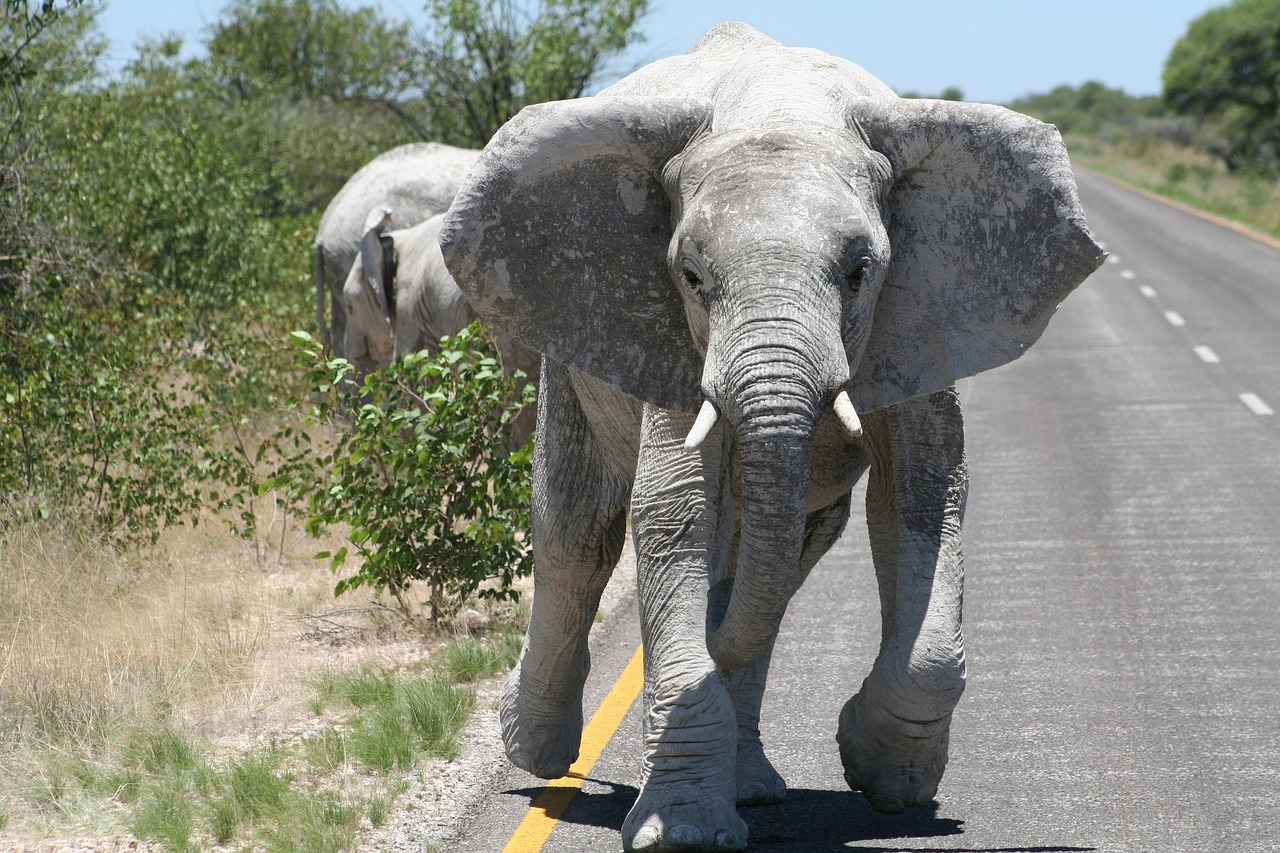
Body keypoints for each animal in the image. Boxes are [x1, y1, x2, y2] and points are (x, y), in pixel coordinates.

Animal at [440, 22, 1104, 853]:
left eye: (859, 271)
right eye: (692, 276)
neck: (782, 105)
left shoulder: (922, 311)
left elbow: (925, 492)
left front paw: (886, 776)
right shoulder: (665, 329)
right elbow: (675, 512)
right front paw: (684, 833)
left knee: (783, 566)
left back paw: (752, 781)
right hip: (568, 343)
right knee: (576, 533)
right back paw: (537, 747)